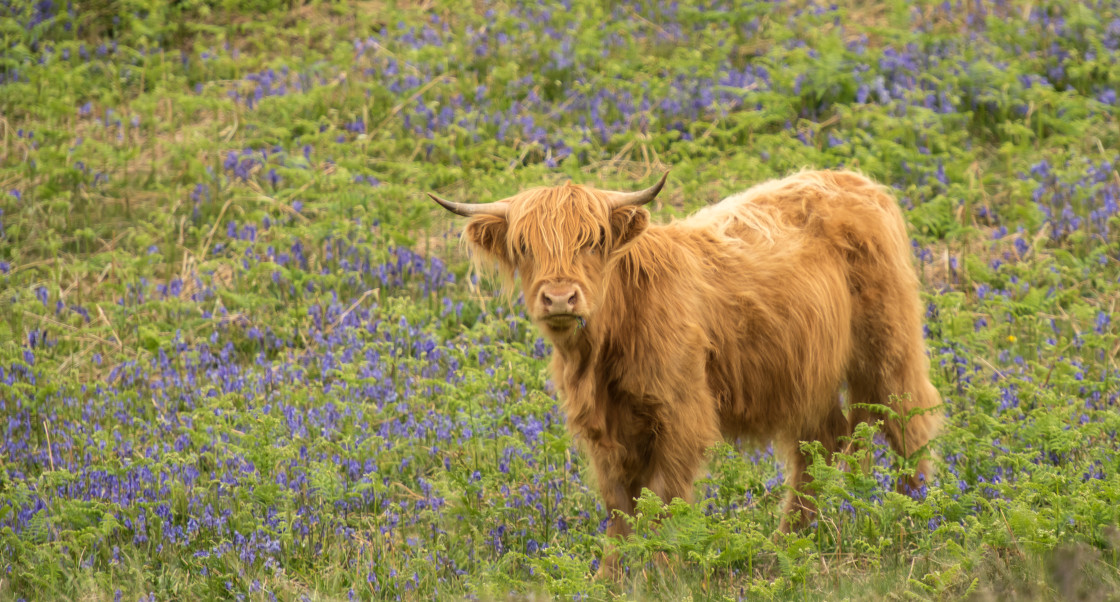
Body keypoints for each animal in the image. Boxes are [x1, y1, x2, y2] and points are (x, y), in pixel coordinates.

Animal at [427, 170, 945, 566]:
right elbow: (619, 509)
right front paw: (612, 578)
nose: (559, 297)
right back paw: (785, 544)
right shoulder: (602, 431)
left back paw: (918, 520)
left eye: (594, 241)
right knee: (822, 444)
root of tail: (857, 181)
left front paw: (662, 571)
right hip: (804, 377)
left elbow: (662, 501)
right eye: (523, 246)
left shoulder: (681, 416)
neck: (605, 349)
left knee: (910, 424)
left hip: (887, 347)